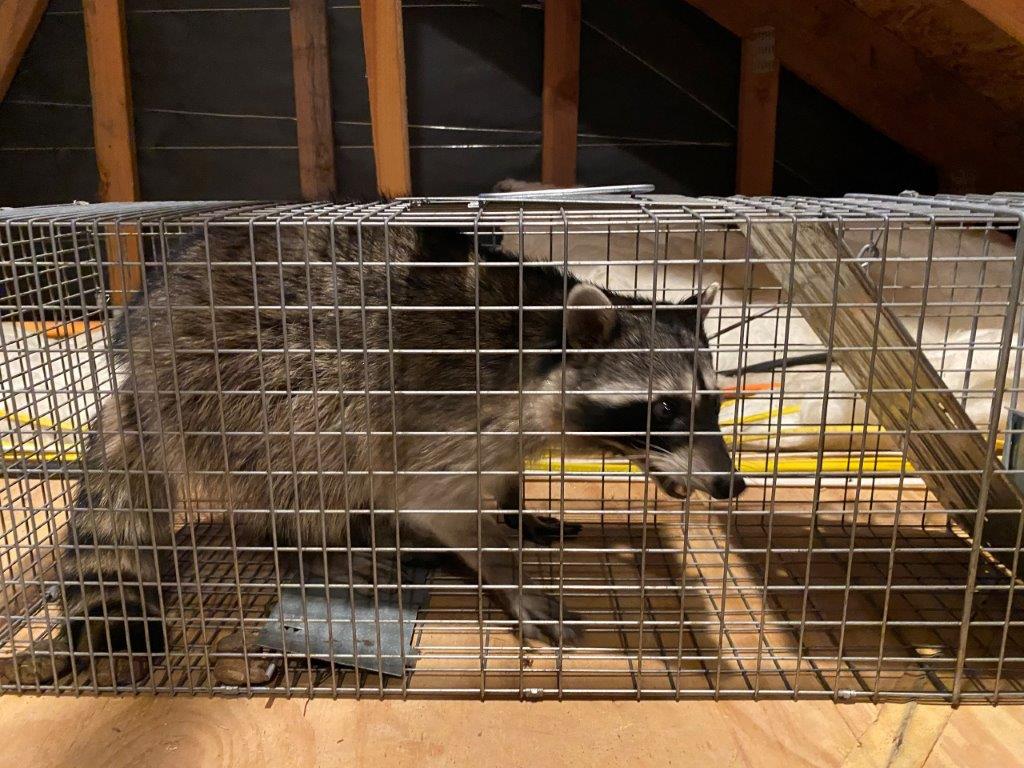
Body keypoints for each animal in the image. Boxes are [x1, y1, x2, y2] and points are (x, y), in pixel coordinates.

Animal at [12, 223, 742, 684]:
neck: (545, 342)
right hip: (246, 381)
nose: (731, 487)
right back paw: (327, 547)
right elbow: (434, 501)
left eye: (714, 403)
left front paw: (516, 504)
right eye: (666, 409)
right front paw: (507, 572)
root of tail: (140, 357)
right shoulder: (452, 412)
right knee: (314, 463)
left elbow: (505, 472)